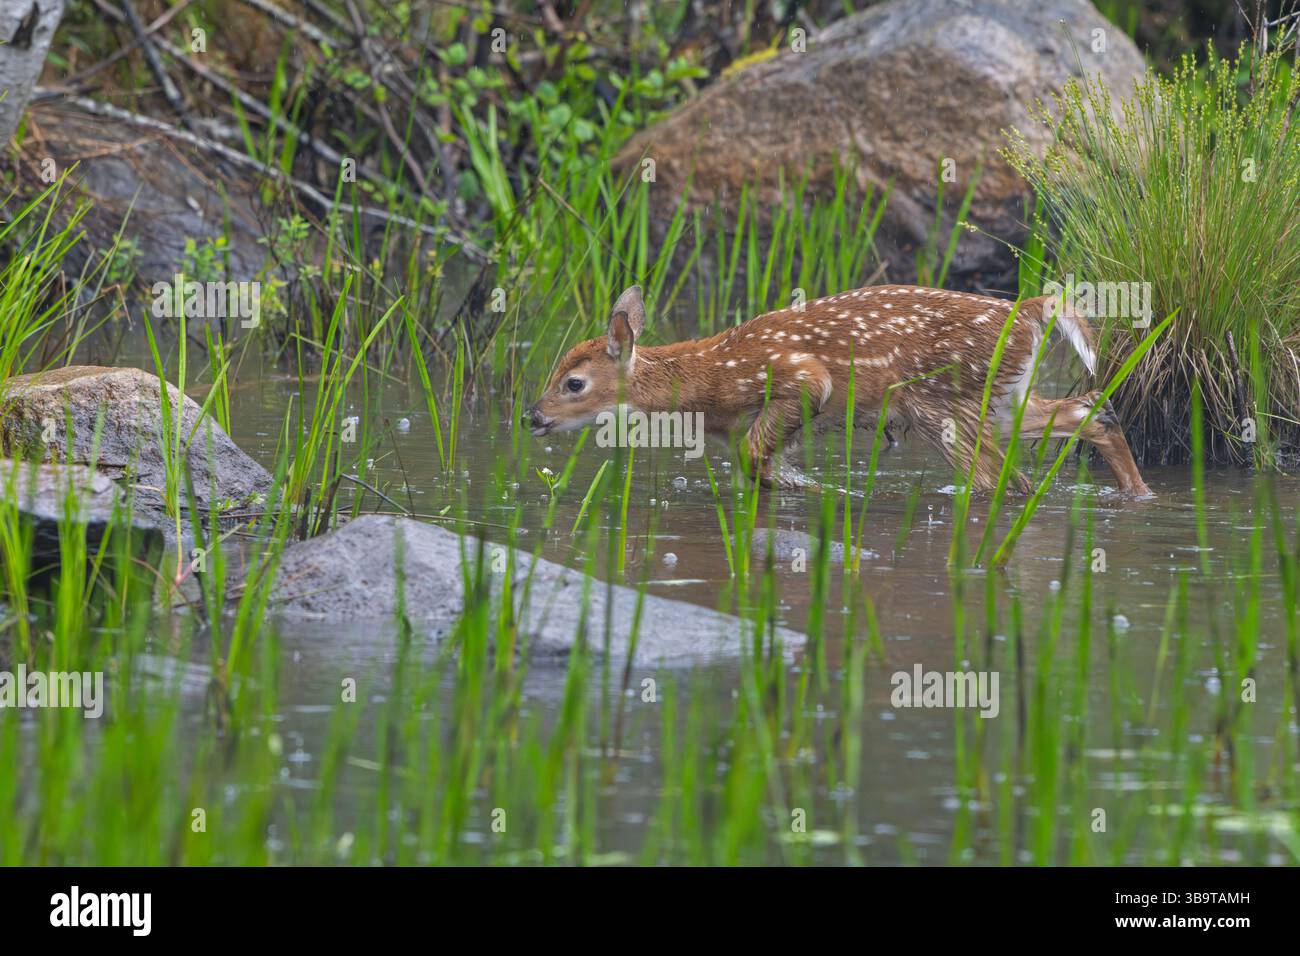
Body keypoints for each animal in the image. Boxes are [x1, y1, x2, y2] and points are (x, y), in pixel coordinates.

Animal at [526, 284, 1152, 498]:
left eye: (573, 383)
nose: (533, 416)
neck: (709, 385)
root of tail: (1030, 310)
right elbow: (753, 461)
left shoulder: (800, 378)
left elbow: (753, 457)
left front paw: (815, 490)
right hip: (1002, 399)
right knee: (1090, 412)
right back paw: (1137, 493)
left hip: (942, 403)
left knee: (1001, 479)